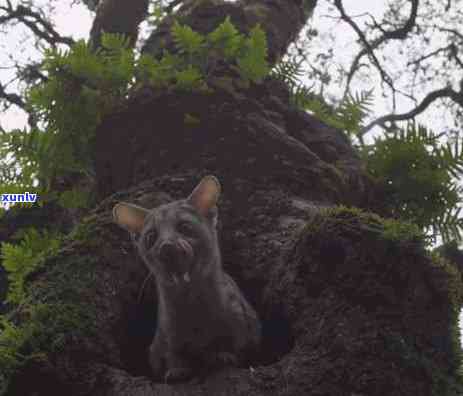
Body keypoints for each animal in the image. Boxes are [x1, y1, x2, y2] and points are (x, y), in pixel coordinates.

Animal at [112, 175, 260, 382]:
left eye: (185, 226)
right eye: (151, 236)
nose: (167, 245)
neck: (193, 312)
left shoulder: (241, 322)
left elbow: (232, 343)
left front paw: (222, 355)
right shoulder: (167, 335)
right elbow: (173, 354)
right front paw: (177, 370)